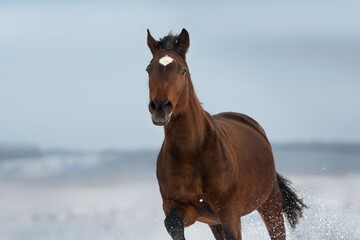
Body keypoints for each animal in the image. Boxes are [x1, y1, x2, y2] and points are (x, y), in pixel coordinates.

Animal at [146, 28, 306, 240]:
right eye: (149, 69)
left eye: (182, 70)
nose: (160, 107)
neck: (192, 153)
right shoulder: (182, 207)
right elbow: (172, 223)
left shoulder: (229, 210)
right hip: (215, 222)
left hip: (270, 203)